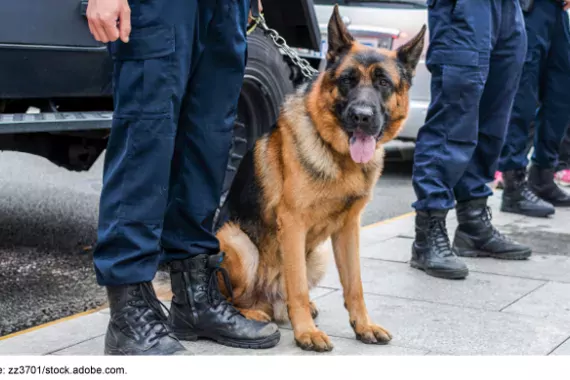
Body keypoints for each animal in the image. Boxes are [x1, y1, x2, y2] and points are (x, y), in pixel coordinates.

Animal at [215, 4, 424, 352]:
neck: (340, 159)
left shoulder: (349, 228)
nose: (362, 116)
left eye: (383, 82)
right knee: (237, 298)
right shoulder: (293, 224)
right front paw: (306, 333)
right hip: (237, 242)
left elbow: (355, 285)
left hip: (318, 256)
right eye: (347, 80)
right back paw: (253, 317)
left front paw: (363, 326)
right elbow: (297, 285)